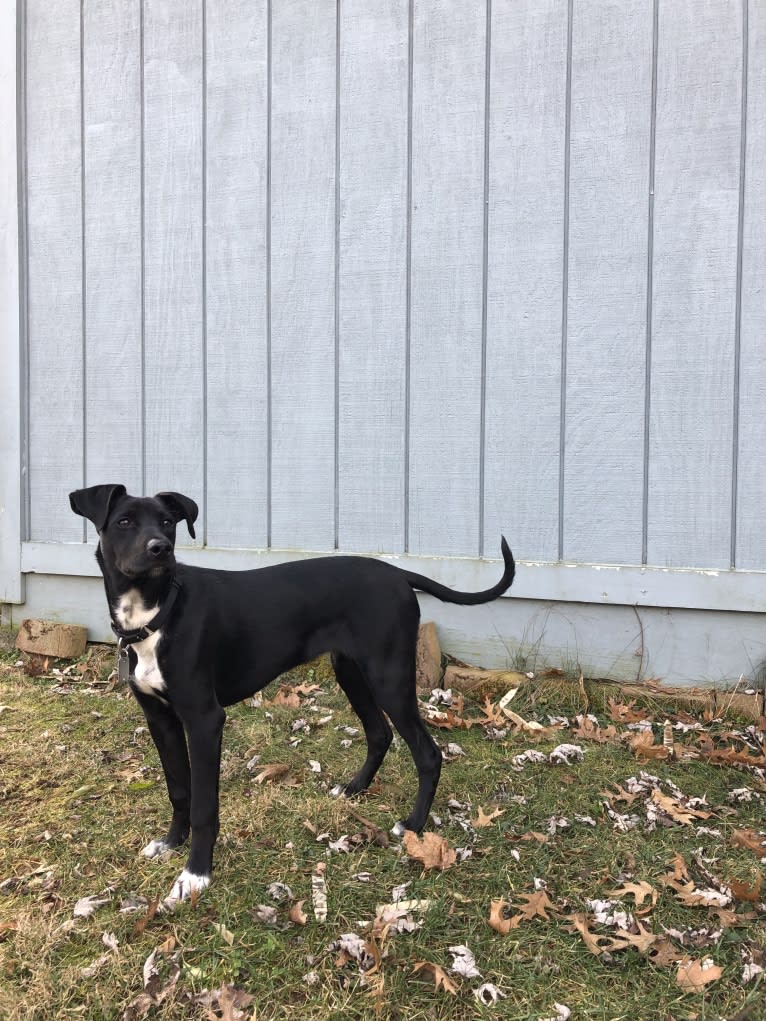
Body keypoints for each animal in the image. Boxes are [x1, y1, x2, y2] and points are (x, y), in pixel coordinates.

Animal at [68, 483, 512, 902]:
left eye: (167, 523)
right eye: (124, 522)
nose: (160, 548)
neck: (159, 612)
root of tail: (397, 573)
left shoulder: (204, 719)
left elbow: (203, 805)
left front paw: (195, 874)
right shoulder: (160, 718)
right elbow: (179, 789)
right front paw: (171, 843)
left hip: (388, 676)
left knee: (427, 752)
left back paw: (413, 825)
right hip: (349, 670)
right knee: (379, 733)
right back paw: (353, 789)